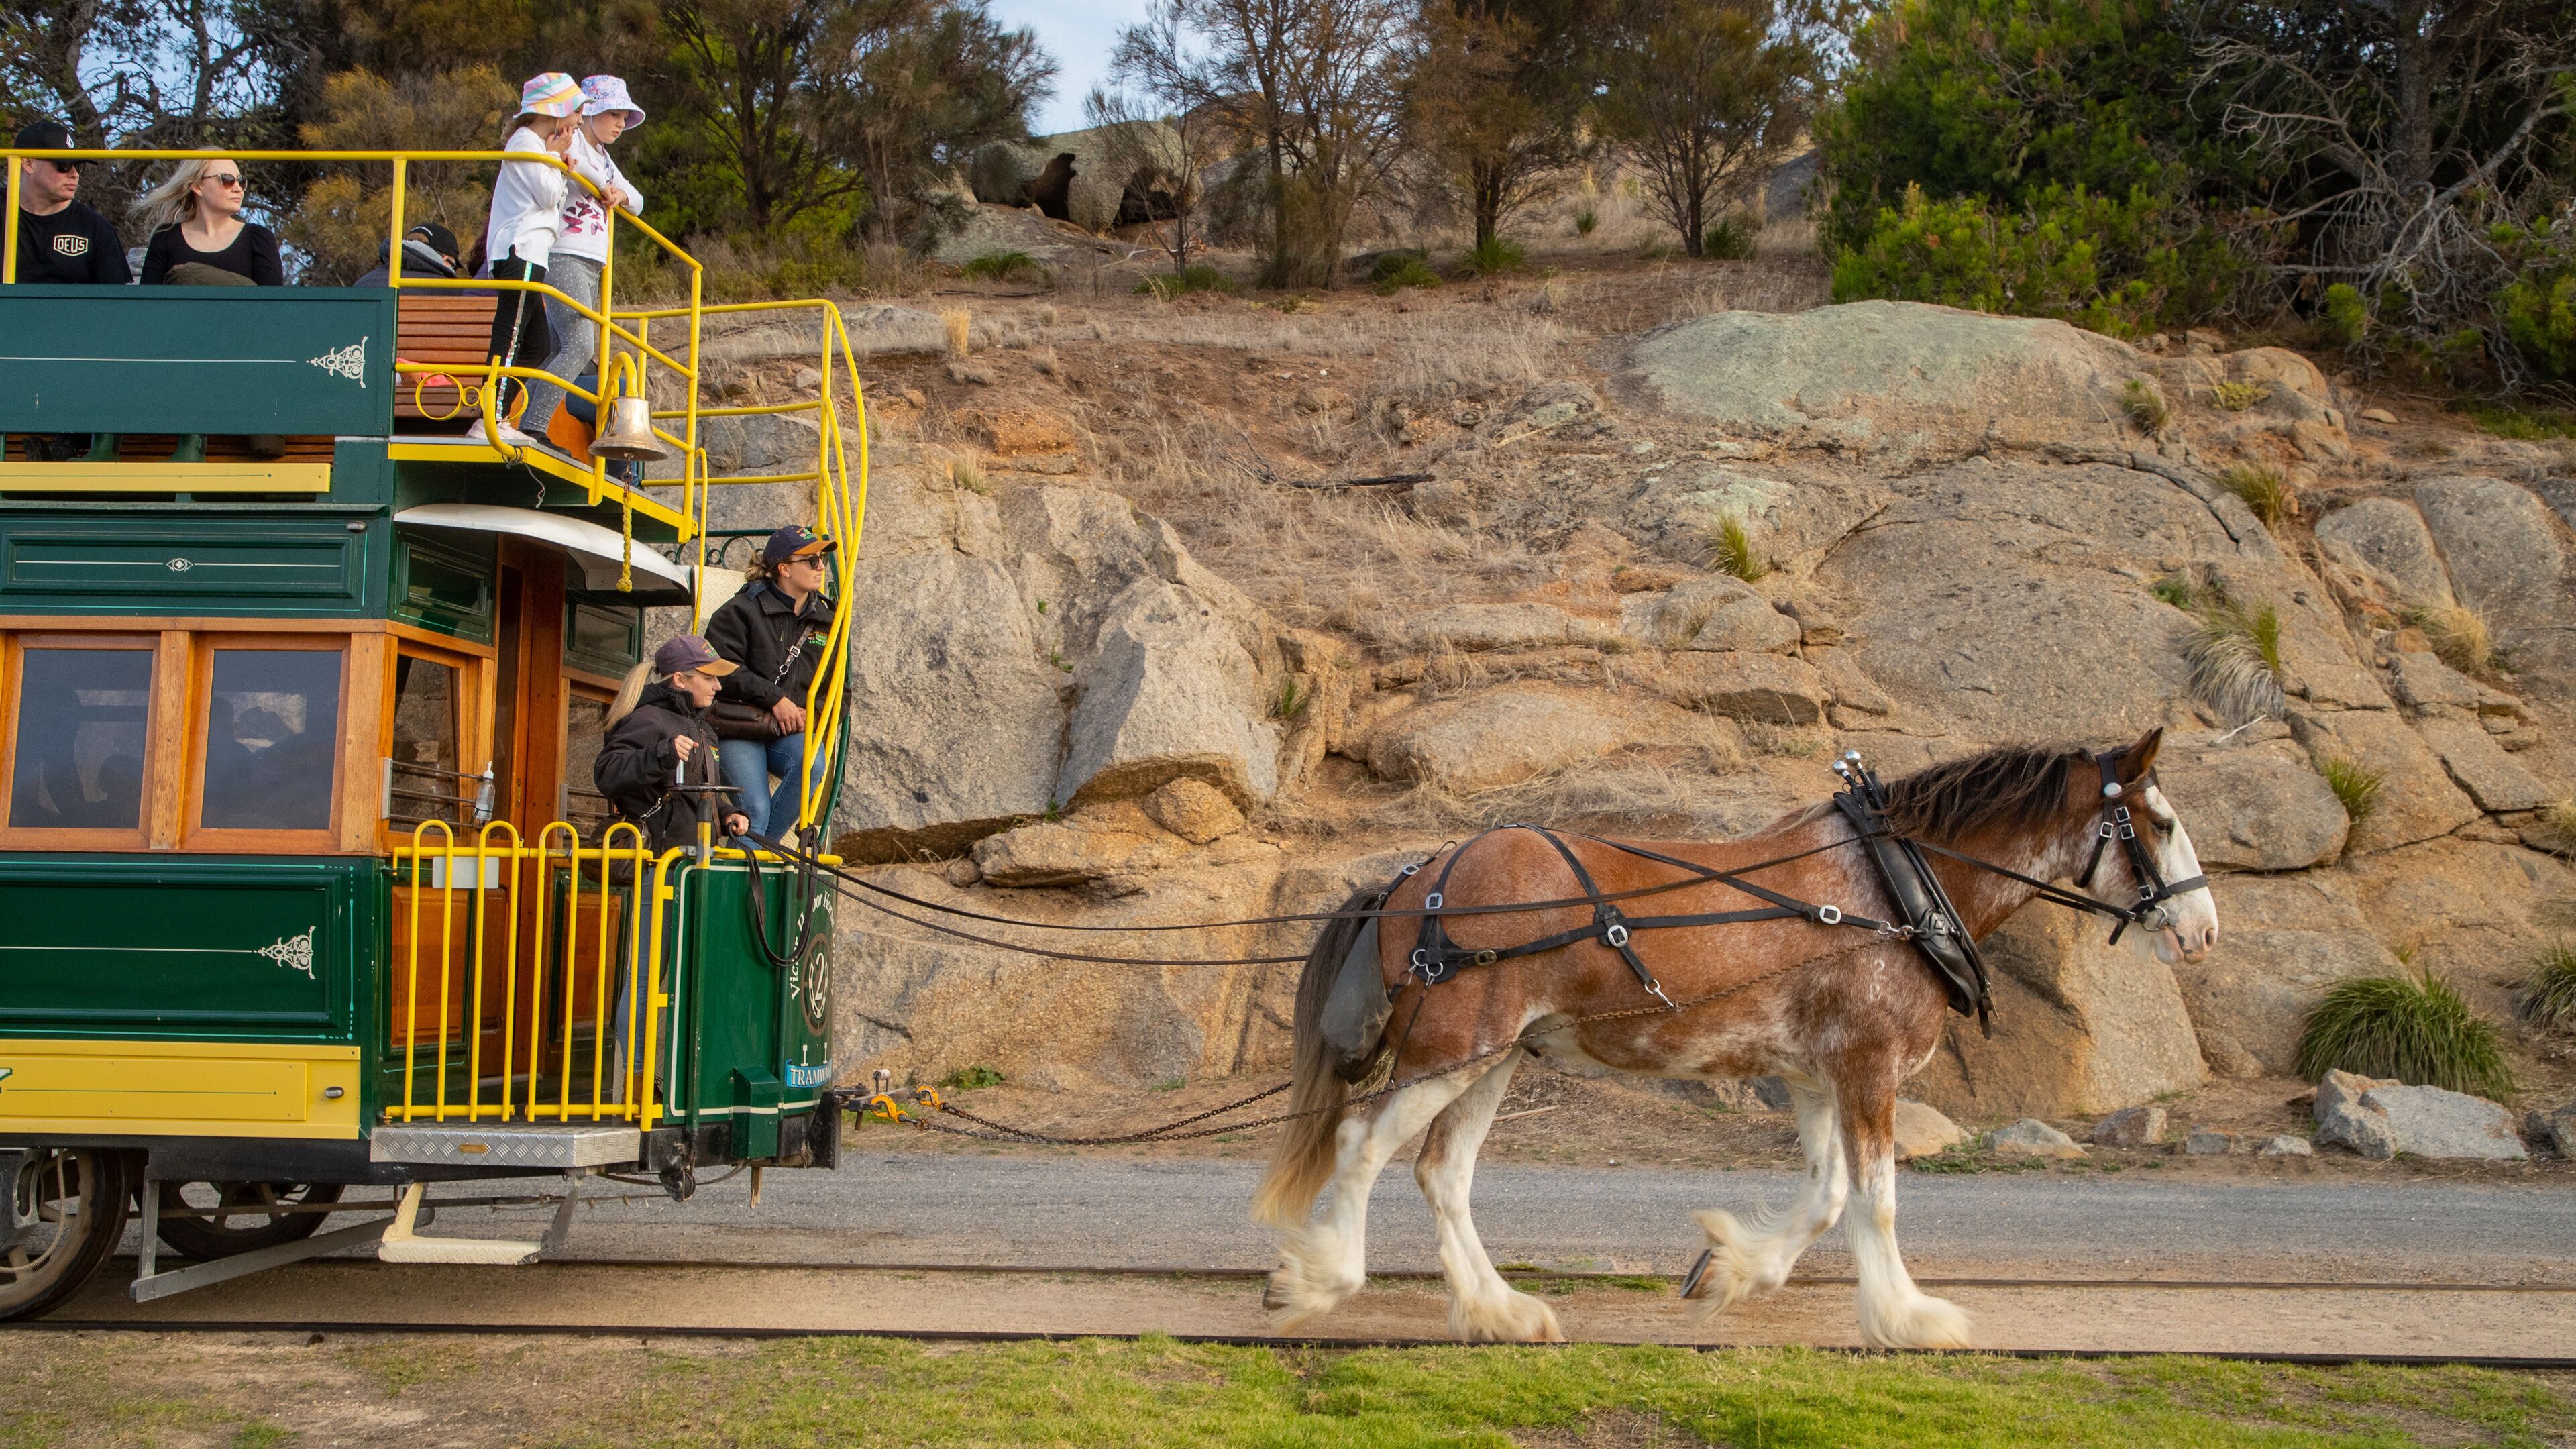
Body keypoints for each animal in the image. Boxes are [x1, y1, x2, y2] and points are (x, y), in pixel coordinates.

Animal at [1252, 729, 2221, 1348]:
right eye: (2163, 824)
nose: (2205, 930)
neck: (1895, 890)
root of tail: (1419, 875)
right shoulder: (1868, 1068)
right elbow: (1876, 1200)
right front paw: (1907, 1316)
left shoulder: (1819, 1075)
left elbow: (1829, 1195)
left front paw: (1731, 1268)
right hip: (1452, 1055)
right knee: (1361, 1142)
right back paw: (1321, 1279)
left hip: (1489, 1062)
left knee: (1441, 1174)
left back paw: (1498, 1310)